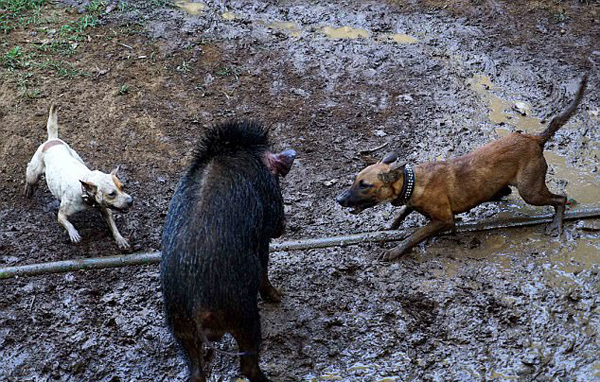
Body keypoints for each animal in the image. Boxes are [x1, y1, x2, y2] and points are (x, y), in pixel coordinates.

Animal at [26, 104, 134, 249]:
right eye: (111, 194)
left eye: (123, 187)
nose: (131, 201)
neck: (84, 188)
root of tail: (52, 139)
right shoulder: (62, 214)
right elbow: (66, 222)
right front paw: (73, 233)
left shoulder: (105, 210)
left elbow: (113, 226)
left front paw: (120, 238)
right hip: (34, 172)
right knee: (30, 177)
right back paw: (28, 189)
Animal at [338, 75, 584, 260]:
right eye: (354, 180)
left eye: (365, 185)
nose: (339, 200)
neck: (413, 181)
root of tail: (535, 139)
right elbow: (403, 210)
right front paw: (391, 226)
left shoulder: (444, 219)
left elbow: (414, 236)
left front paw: (394, 250)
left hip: (530, 191)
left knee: (561, 198)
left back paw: (556, 225)